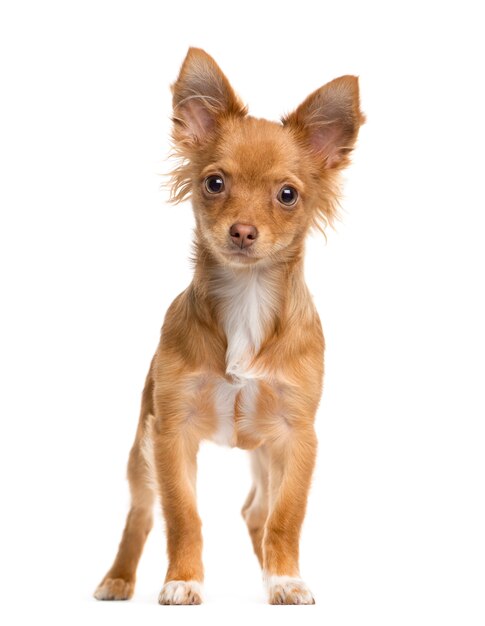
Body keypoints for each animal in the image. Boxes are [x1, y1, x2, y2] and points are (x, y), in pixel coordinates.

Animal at [93, 46, 364, 604]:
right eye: (214, 183)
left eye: (288, 195)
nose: (242, 231)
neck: (247, 298)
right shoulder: (170, 433)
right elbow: (182, 516)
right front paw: (182, 581)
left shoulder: (297, 438)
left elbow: (285, 517)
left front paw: (285, 579)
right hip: (141, 451)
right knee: (140, 514)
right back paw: (118, 578)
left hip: (263, 456)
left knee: (257, 511)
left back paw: (270, 572)